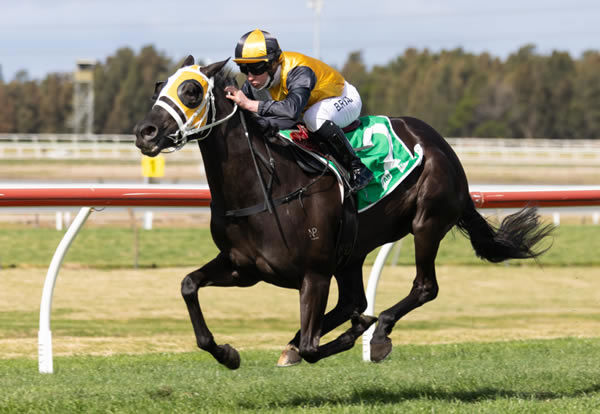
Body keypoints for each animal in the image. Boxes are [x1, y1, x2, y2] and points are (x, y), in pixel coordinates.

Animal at [134, 57, 552, 368]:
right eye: (158, 88)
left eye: (191, 91)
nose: (145, 132)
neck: (265, 186)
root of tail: (438, 143)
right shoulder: (244, 267)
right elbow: (189, 285)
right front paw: (227, 353)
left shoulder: (314, 273)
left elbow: (312, 346)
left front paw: (356, 335)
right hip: (353, 250)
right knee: (353, 301)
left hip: (427, 221)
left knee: (422, 287)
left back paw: (379, 332)